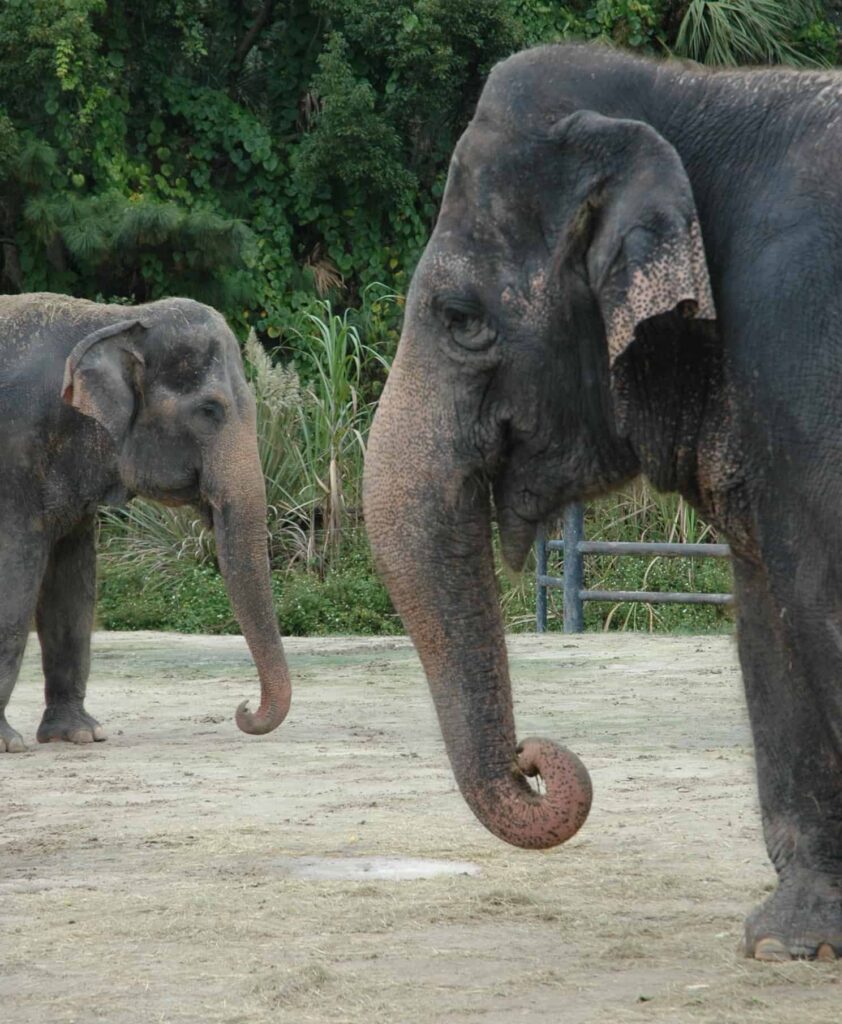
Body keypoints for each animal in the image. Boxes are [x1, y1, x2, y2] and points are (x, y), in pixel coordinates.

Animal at [0, 293, 292, 752]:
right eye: (209, 410)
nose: (243, 709)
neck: (115, 319)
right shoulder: (15, 454)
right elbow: (15, 578)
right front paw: (9, 744)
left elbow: (73, 589)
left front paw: (81, 734)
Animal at [364, 43, 842, 961]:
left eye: (461, 316)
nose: (533, 757)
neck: (696, 92)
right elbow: (771, 615)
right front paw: (786, 944)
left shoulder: (801, 343)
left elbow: (820, 600)